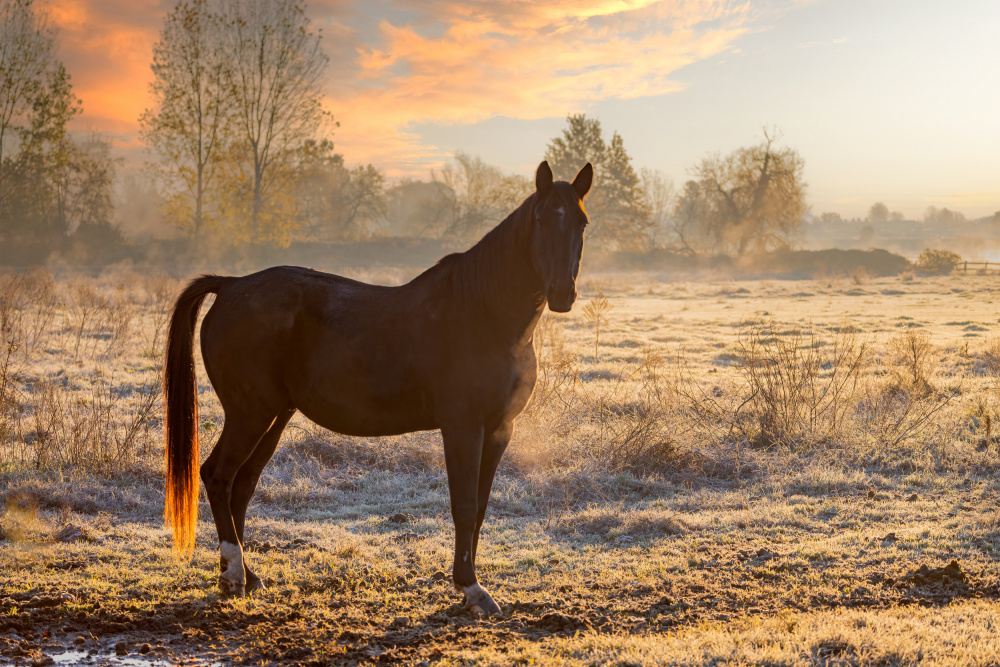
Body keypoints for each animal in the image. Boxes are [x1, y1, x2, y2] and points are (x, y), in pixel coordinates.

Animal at [163, 160, 593, 616]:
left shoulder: (498, 430)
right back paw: (231, 574)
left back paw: (247, 576)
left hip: (274, 415)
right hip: (250, 413)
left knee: (241, 486)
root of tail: (230, 285)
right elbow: (463, 505)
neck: (483, 315)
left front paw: (470, 587)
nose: (563, 293)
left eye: (582, 222)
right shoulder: (462, 427)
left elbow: (479, 508)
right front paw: (471, 587)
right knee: (218, 476)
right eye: (542, 219)